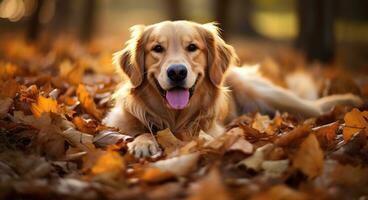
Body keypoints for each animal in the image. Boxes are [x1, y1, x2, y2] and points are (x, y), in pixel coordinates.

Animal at [103, 20, 362, 158]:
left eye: (192, 47)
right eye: (157, 48)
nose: (177, 72)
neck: (174, 117)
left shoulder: (211, 131)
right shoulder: (116, 125)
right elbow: (140, 131)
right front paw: (144, 142)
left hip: (270, 95)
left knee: (315, 107)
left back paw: (352, 100)